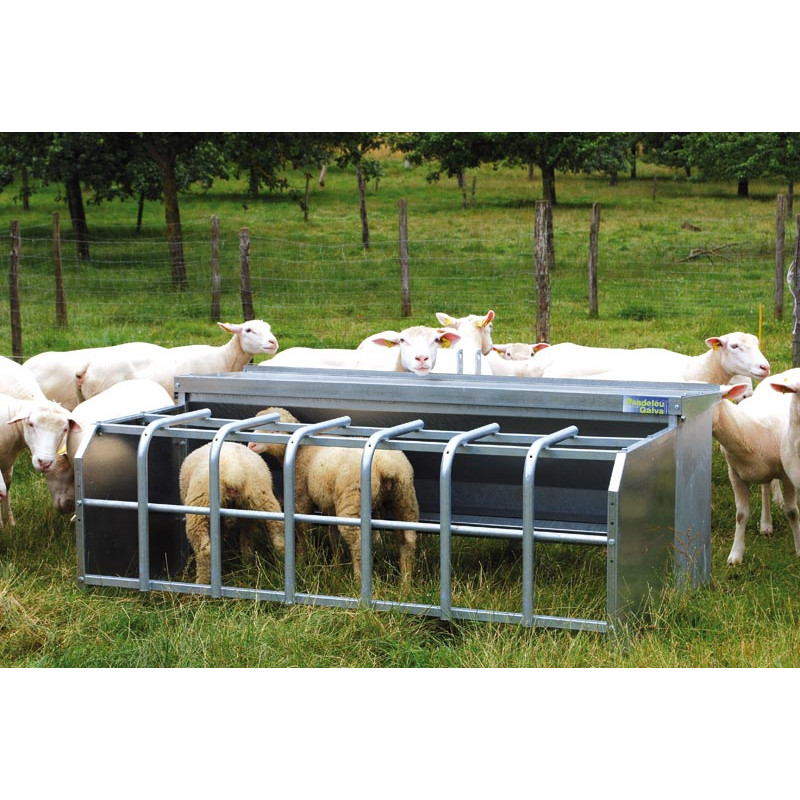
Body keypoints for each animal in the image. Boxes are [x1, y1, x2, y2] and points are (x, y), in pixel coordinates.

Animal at [0, 394, 79, 527]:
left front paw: (11, 524)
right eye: (31, 424)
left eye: (65, 429)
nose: (45, 462)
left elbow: (6, 486)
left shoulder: (6, 464)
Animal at [179, 441, 287, 585]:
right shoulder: (247, 518)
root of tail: (234, 472)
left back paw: (201, 583)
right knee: (276, 540)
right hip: (262, 498)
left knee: (205, 550)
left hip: (199, 508)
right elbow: (246, 539)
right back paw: (273, 569)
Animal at [249, 407, 419, 583]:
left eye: (276, 430)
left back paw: (358, 579)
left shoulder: (301, 494)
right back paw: (405, 582)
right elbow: (333, 534)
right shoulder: (330, 504)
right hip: (404, 498)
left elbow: (302, 529)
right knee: (407, 539)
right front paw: (336, 565)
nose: (251, 444)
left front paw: (302, 560)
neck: (303, 450)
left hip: (352, 501)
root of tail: (387, 465)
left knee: (358, 542)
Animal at [711, 379, 800, 566]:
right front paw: (735, 555)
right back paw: (766, 524)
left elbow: (792, 512)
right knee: (766, 488)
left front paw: (799, 550)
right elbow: (741, 515)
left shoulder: (787, 474)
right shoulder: (735, 474)